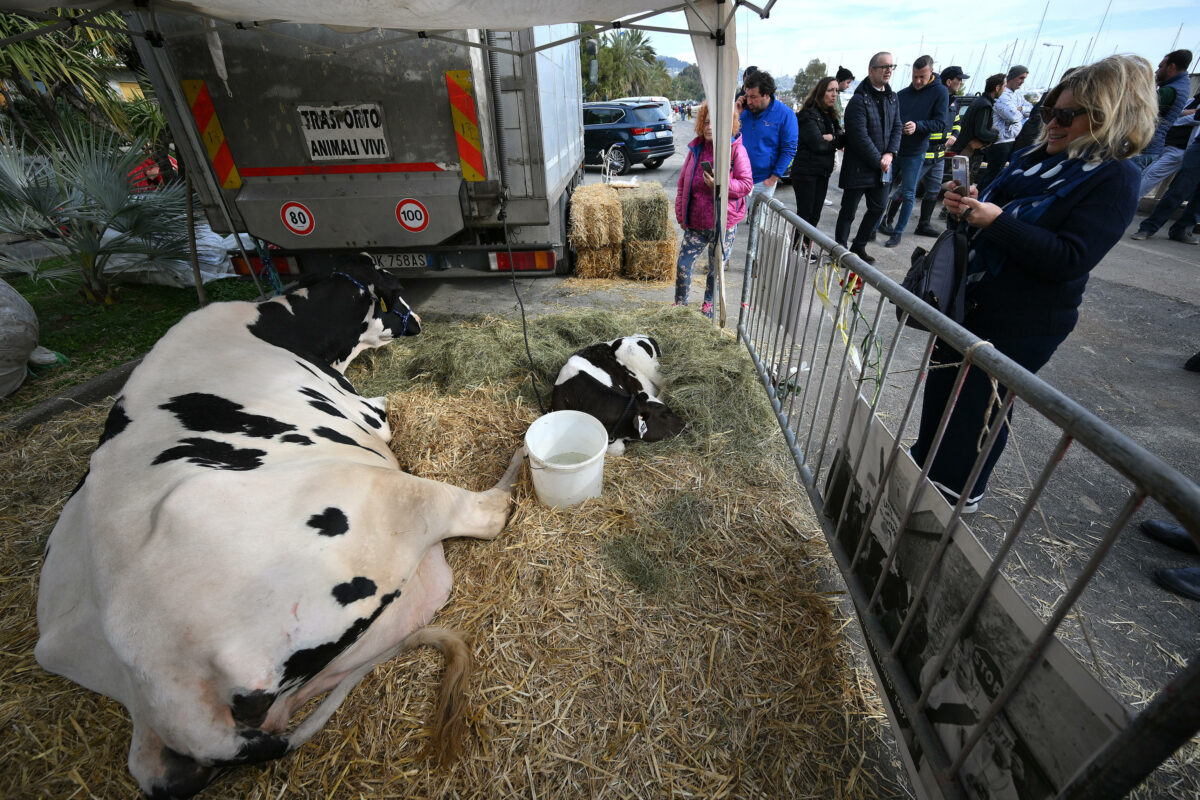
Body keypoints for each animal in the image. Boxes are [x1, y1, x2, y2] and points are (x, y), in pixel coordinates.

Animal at [36, 253, 525, 796]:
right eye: (393, 290)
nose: (416, 320)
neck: (283, 325)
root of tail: (165, 697)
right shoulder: (368, 415)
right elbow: (382, 411)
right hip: (386, 497)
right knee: (478, 513)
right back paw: (513, 471)